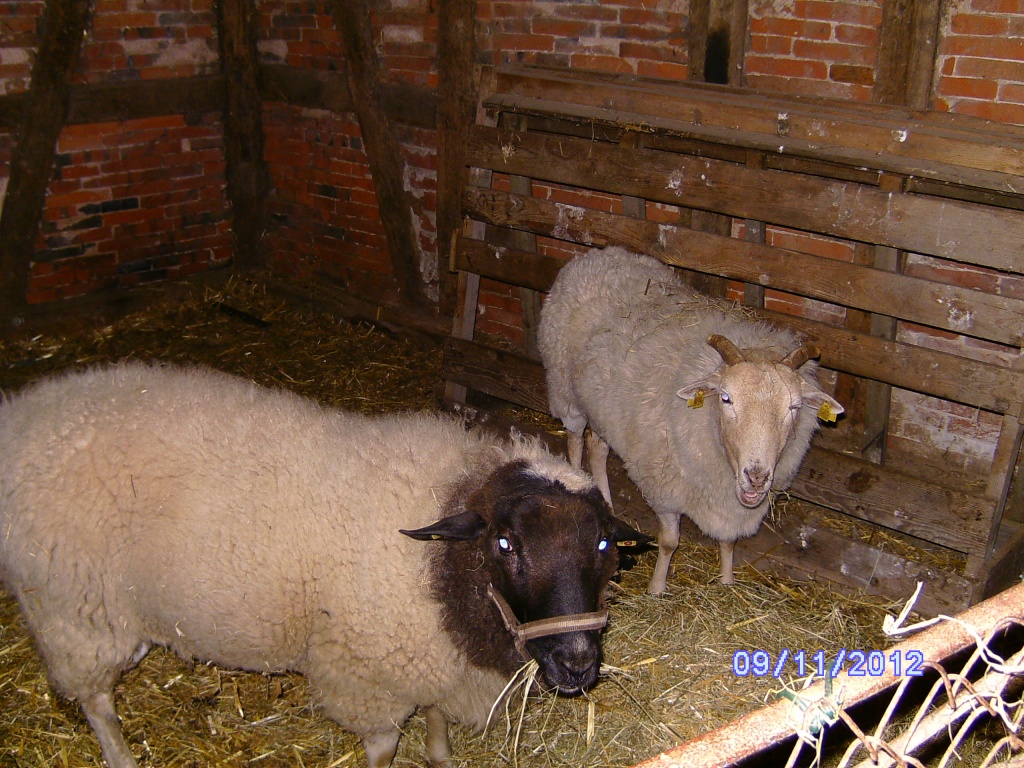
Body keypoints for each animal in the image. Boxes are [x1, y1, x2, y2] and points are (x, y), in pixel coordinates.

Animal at [0, 360, 650, 768]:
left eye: (602, 547)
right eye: (506, 545)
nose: (578, 663)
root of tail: (22, 414)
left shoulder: (429, 658)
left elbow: (435, 718)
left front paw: (440, 756)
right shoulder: (367, 671)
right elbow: (384, 747)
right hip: (72, 608)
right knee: (94, 700)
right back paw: (120, 755)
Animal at [537, 246, 843, 593]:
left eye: (794, 407)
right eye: (726, 397)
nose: (756, 476)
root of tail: (596, 255)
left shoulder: (729, 505)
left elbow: (729, 542)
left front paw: (726, 581)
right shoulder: (663, 488)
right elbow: (670, 542)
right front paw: (657, 589)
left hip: (603, 409)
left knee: (598, 448)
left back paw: (606, 503)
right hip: (566, 392)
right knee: (576, 441)